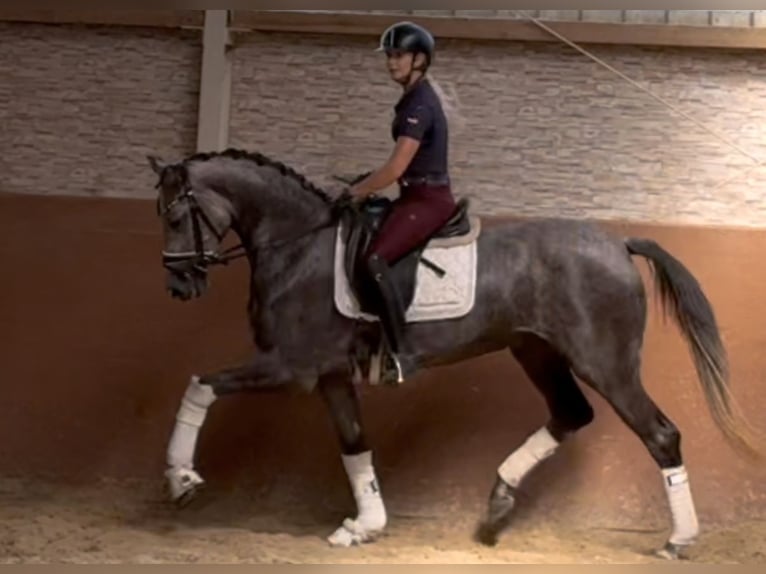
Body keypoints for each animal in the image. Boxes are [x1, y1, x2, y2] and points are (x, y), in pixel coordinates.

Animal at [146, 147, 761, 560]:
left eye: (175, 216)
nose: (178, 285)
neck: (300, 245)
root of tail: (618, 242)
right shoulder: (330, 375)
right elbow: (355, 444)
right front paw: (365, 524)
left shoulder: (288, 367)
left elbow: (199, 384)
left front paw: (181, 479)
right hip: (536, 352)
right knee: (570, 414)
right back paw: (496, 507)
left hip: (605, 364)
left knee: (660, 435)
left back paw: (678, 539)